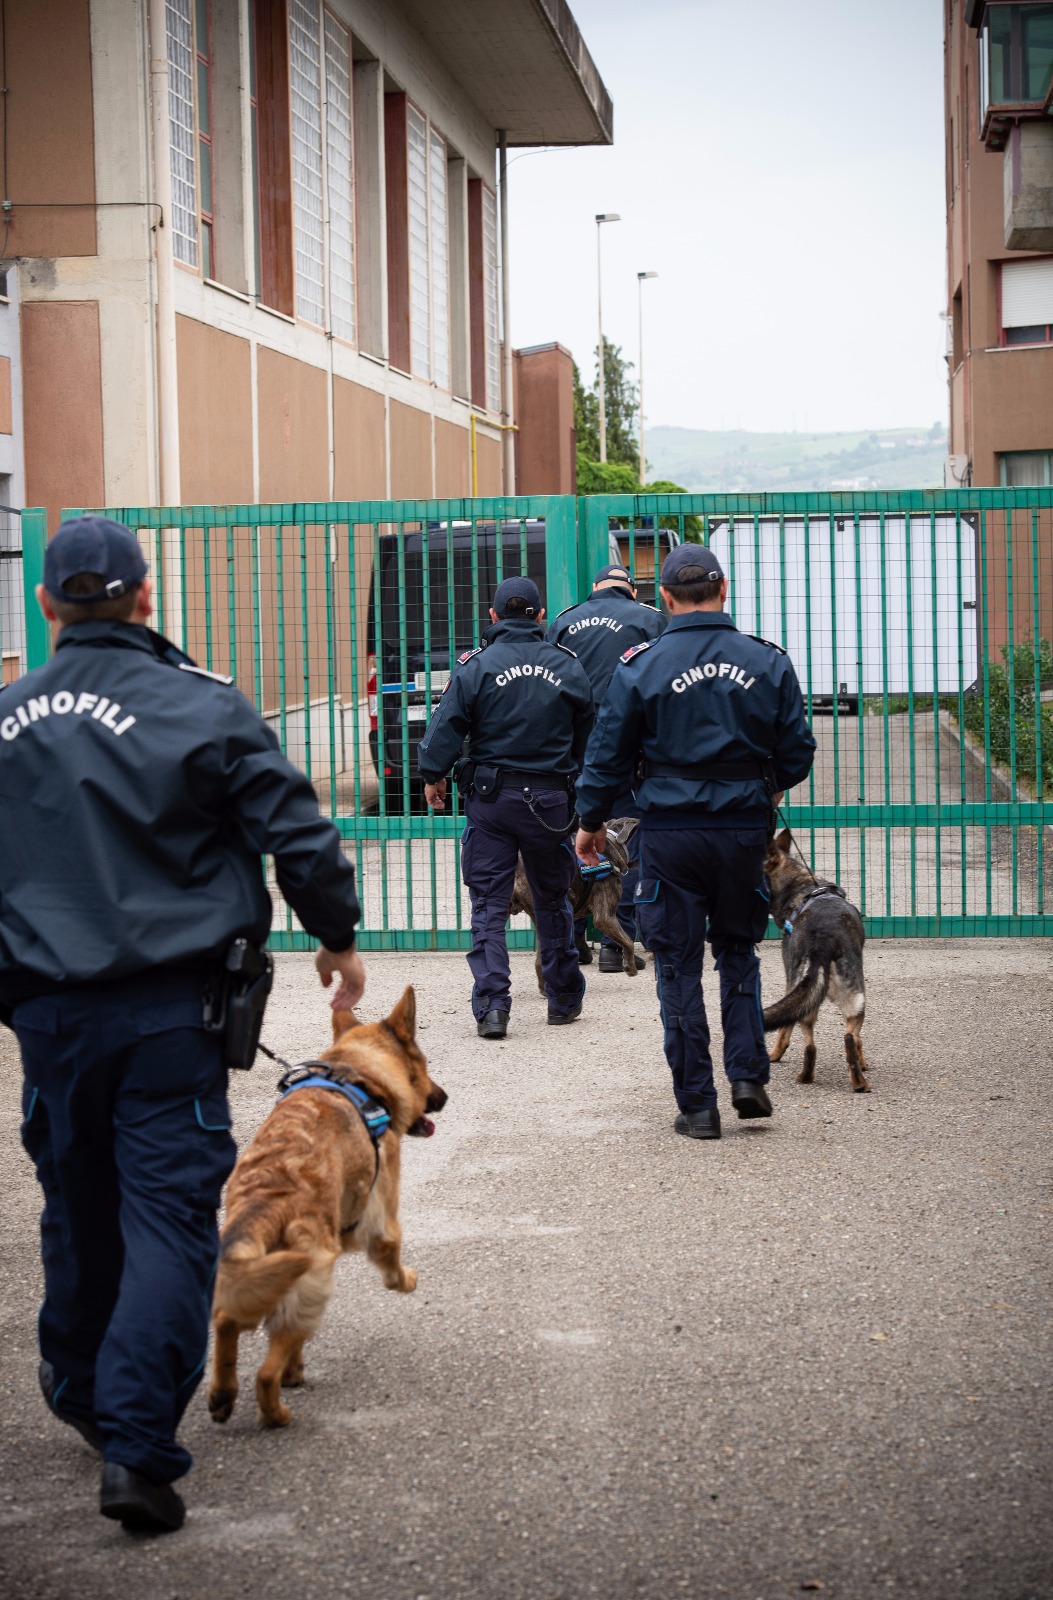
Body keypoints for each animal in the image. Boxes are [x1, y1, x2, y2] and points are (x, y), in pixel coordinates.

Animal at [206, 985, 444, 1427]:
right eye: (423, 1066)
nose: (444, 1097)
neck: (358, 1077)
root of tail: (267, 1202)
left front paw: (294, 1370)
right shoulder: (382, 1218)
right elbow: (390, 1254)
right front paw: (405, 1280)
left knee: (229, 1322)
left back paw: (225, 1392)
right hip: (313, 1281)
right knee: (266, 1371)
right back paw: (276, 1412)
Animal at [755, 832, 870, 1094]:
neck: (803, 886)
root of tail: (823, 940)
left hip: (818, 992)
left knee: (815, 1044)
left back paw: (816, 1077)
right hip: (848, 997)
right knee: (845, 1038)